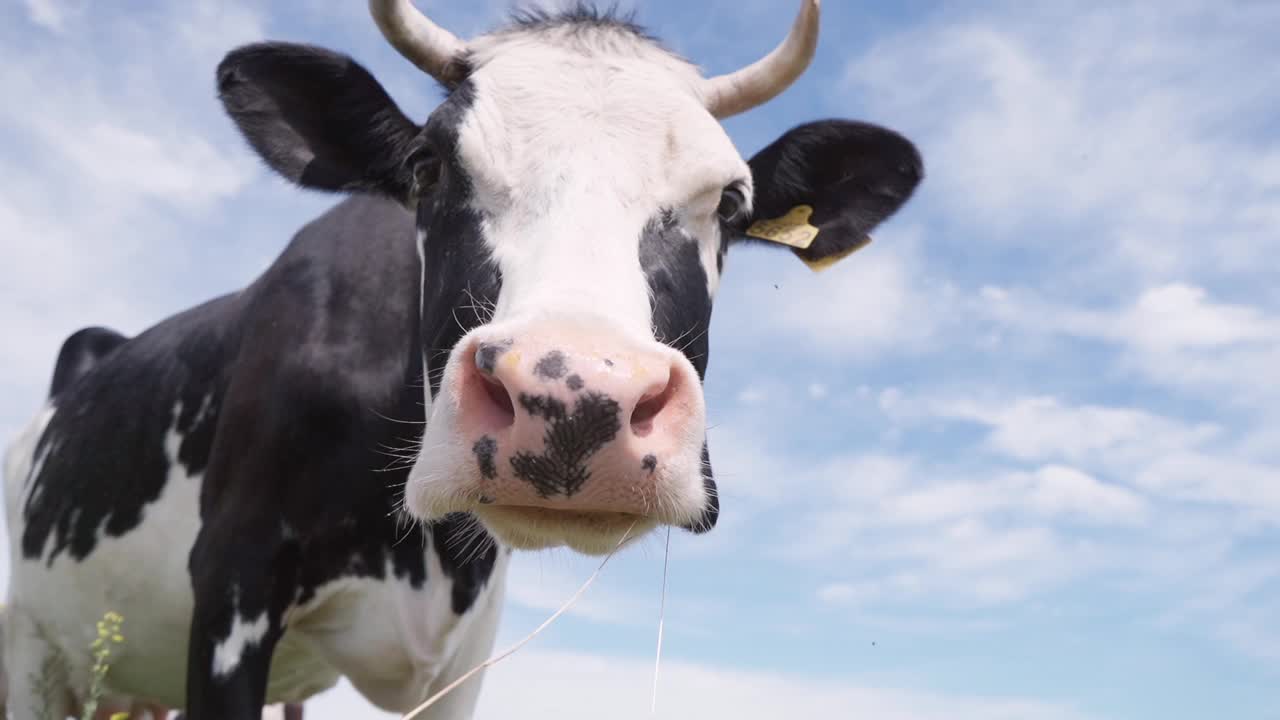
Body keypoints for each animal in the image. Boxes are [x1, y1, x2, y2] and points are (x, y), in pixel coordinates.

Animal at [0, 2, 921, 712]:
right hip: (30, 649)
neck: (425, 557)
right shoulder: (232, 583)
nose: (574, 399)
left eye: (730, 203)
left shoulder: (468, 654)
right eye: (428, 166)